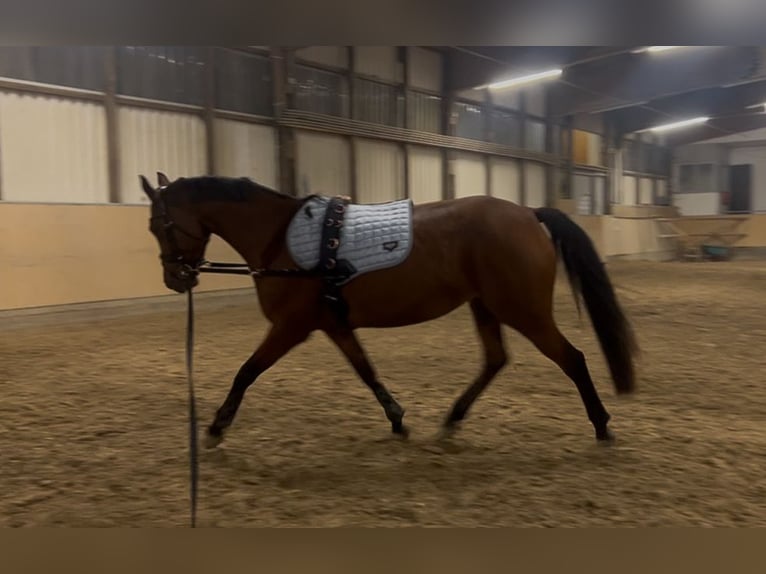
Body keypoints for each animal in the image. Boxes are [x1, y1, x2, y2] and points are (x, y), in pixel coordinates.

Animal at [139, 172, 638, 449]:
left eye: (157, 224)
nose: (175, 278)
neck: (279, 236)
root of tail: (527, 213)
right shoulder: (332, 323)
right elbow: (366, 370)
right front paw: (398, 419)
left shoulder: (290, 326)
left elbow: (246, 372)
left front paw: (215, 428)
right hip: (486, 306)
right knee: (496, 360)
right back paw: (451, 421)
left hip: (523, 310)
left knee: (572, 359)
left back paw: (602, 427)